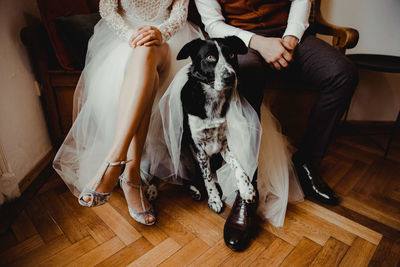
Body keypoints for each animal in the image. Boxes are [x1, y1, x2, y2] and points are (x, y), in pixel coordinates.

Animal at [177, 36, 258, 215]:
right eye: (209, 57)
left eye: (232, 54)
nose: (230, 77)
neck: (213, 100)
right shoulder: (199, 148)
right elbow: (207, 177)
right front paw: (214, 198)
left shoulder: (224, 145)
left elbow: (238, 165)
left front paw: (246, 189)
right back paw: (193, 189)